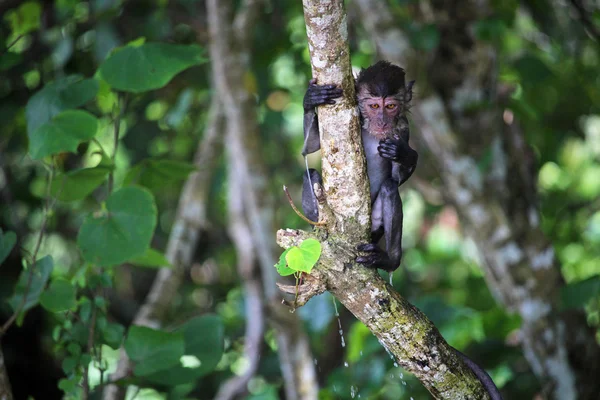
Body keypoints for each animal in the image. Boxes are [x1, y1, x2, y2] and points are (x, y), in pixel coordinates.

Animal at [300, 61, 502, 398]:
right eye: (373, 106)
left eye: (391, 107)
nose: (383, 121)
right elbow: (311, 149)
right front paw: (310, 98)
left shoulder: (404, 127)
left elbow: (399, 174)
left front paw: (405, 155)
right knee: (312, 174)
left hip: (375, 229)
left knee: (390, 190)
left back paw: (388, 259)